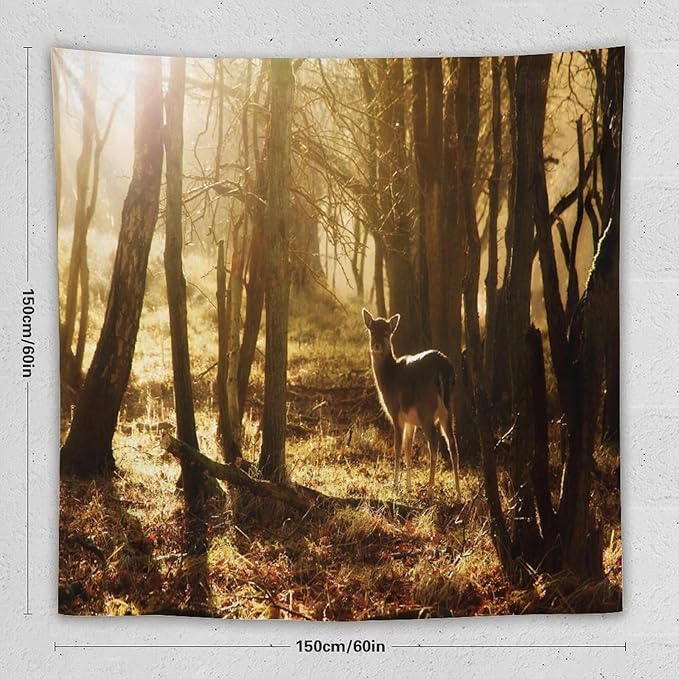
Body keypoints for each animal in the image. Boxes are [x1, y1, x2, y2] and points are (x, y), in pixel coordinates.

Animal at [362, 309, 461, 499]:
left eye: (387, 333)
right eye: (372, 331)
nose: (376, 345)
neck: (389, 378)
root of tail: (444, 369)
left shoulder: (395, 412)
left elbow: (398, 447)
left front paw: (395, 486)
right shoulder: (410, 420)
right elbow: (408, 448)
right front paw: (408, 487)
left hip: (426, 409)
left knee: (434, 444)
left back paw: (430, 490)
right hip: (448, 408)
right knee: (452, 444)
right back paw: (459, 493)